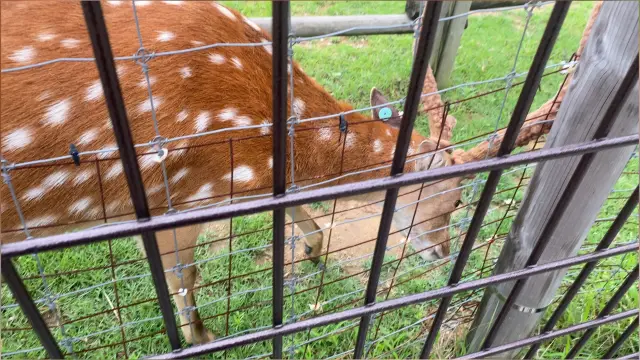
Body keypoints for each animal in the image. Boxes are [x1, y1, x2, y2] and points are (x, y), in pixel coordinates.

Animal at [0, 0, 600, 346]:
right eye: (453, 201)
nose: (445, 250)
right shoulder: (181, 193)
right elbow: (185, 280)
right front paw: (201, 336)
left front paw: (312, 249)